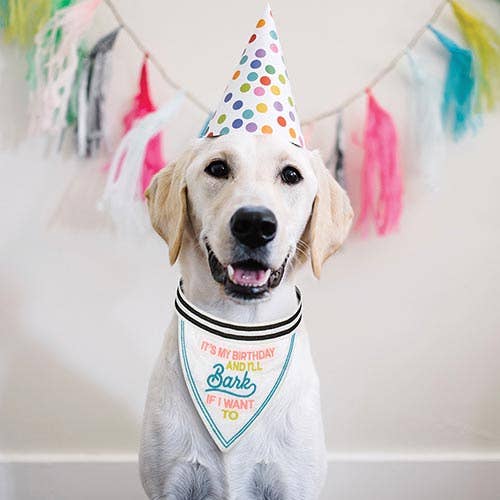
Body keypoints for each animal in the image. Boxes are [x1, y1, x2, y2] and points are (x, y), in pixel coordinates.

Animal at [139, 131, 354, 498]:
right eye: (217, 168)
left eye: (291, 175)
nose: (254, 224)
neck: (239, 332)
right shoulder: (169, 484)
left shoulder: (292, 484)